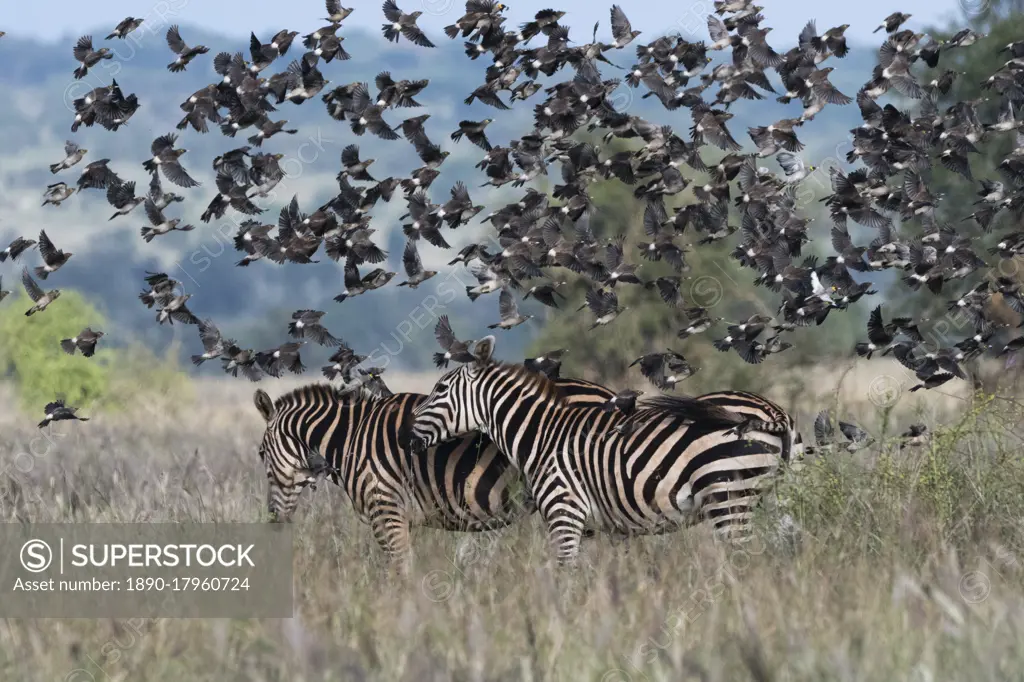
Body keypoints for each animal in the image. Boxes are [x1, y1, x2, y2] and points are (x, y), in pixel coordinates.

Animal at [252, 374, 614, 561]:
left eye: (260, 453)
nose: (273, 519)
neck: (350, 437)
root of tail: (606, 391)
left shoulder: (387, 511)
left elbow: (398, 571)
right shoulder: (400, 517)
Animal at [407, 333, 798, 561]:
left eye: (440, 390)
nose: (407, 436)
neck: (541, 433)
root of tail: (775, 412)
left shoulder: (564, 512)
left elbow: (565, 576)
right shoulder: (605, 526)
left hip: (729, 497)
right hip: (771, 499)